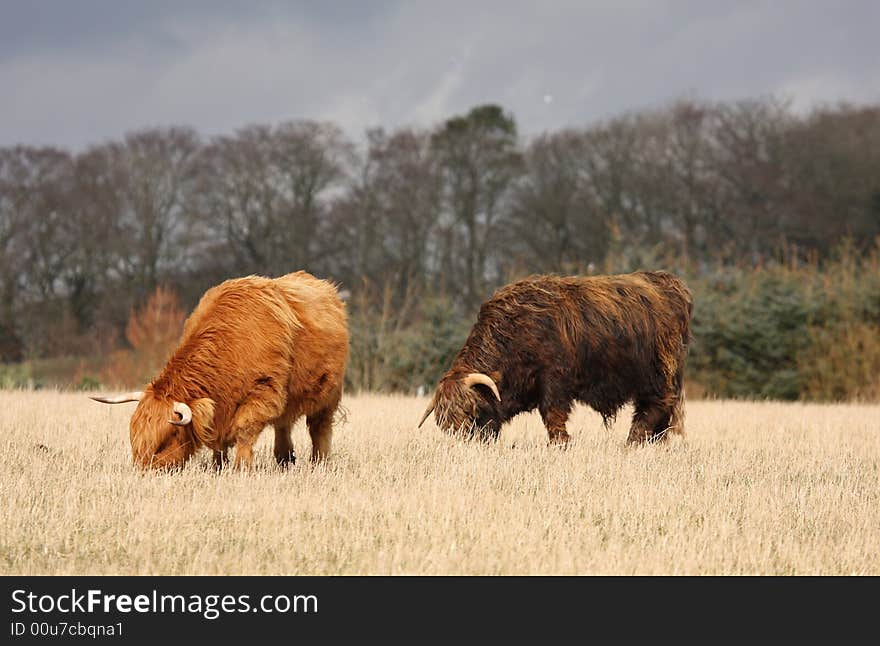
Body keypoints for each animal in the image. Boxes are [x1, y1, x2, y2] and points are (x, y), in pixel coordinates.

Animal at [420, 272, 696, 446]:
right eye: (445, 424)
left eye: (471, 411)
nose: (467, 444)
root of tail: (669, 283)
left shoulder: (554, 380)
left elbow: (553, 415)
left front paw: (561, 443)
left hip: (659, 374)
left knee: (656, 405)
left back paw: (633, 441)